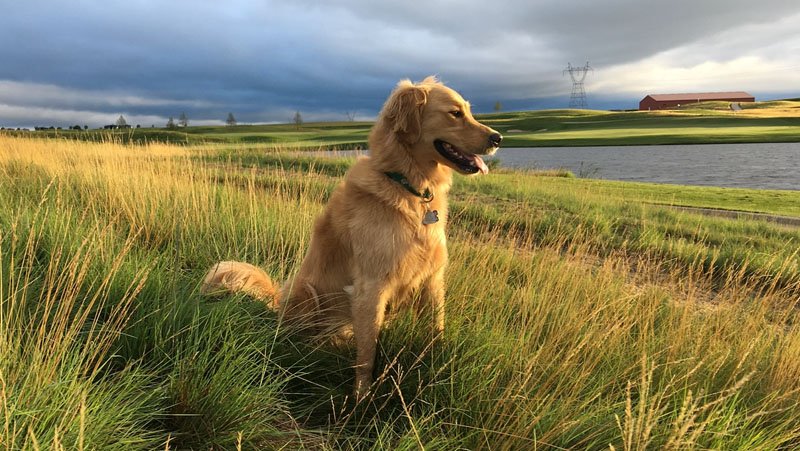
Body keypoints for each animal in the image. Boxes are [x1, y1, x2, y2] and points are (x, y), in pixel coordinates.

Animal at [202, 77, 500, 396]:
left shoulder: (432, 279)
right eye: (454, 113)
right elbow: (367, 354)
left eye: (469, 111)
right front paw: (362, 398)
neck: (408, 188)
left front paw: (439, 369)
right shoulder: (371, 286)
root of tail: (276, 305)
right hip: (306, 292)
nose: (498, 138)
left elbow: (436, 330)